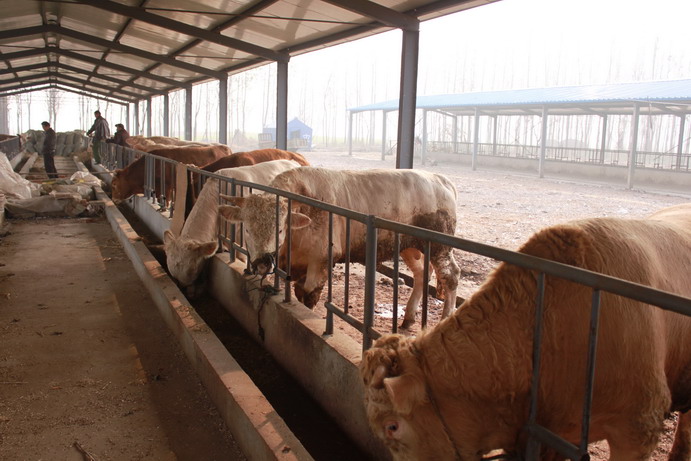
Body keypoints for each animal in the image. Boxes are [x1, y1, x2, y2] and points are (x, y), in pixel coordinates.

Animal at [218, 167, 461, 329]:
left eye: (279, 230)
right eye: (246, 229)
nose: (262, 262)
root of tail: (440, 179)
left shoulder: (322, 259)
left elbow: (309, 294)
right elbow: (298, 291)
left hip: (439, 246)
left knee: (450, 275)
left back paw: (445, 319)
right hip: (409, 246)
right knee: (421, 274)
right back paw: (409, 318)